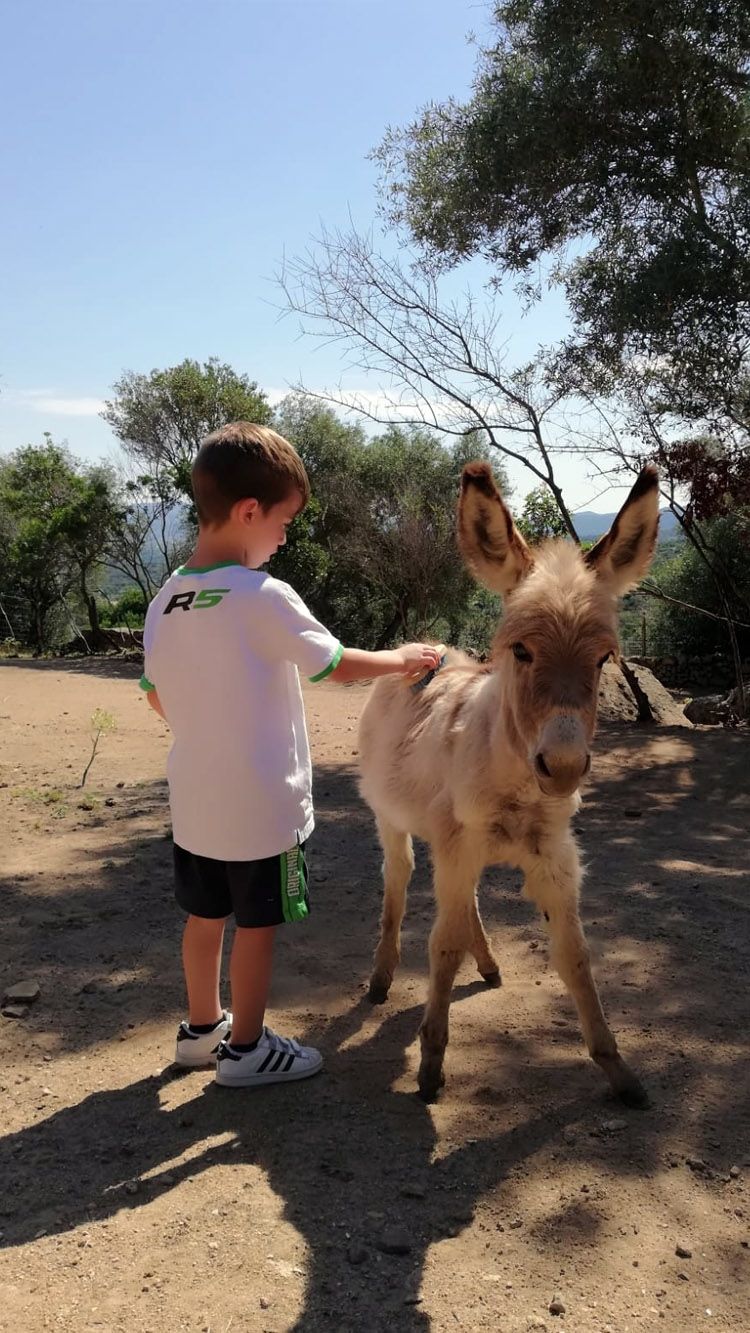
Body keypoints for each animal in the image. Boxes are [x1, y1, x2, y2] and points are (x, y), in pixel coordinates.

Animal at [359, 461, 660, 1103]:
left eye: (603, 659)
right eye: (520, 651)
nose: (564, 765)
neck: (517, 793)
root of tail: (425, 647)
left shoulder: (552, 858)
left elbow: (576, 957)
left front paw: (618, 1069)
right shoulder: (458, 844)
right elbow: (441, 946)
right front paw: (431, 1064)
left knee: (465, 901)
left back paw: (490, 963)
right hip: (392, 820)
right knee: (400, 881)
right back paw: (381, 977)